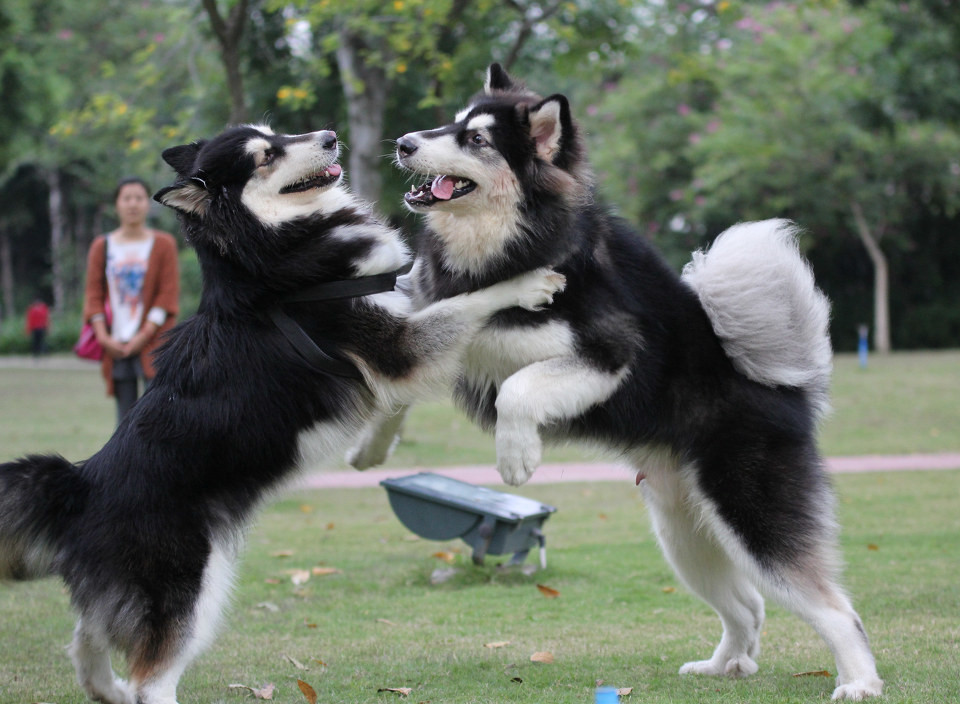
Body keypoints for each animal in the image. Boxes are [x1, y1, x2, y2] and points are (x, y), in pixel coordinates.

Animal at [0, 125, 564, 704]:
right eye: (265, 156)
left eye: (275, 133)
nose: (330, 135)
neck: (275, 256)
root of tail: (79, 485)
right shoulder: (397, 347)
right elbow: (468, 305)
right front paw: (525, 284)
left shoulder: (396, 322)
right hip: (192, 586)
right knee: (150, 677)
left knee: (86, 638)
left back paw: (104, 687)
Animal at [378, 64, 880, 700]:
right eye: (451, 123)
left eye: (477, 140)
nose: (403, 143)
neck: (518, 239)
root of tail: (785, 392)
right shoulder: (429, 319)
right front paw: (375, 440)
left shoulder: (610, 355)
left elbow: (519, 388)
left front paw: (517, 456)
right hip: (683, 534)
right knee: (748, 606)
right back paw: (724, 665)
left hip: (752, 518)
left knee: (836, 610)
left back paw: (859, 681)